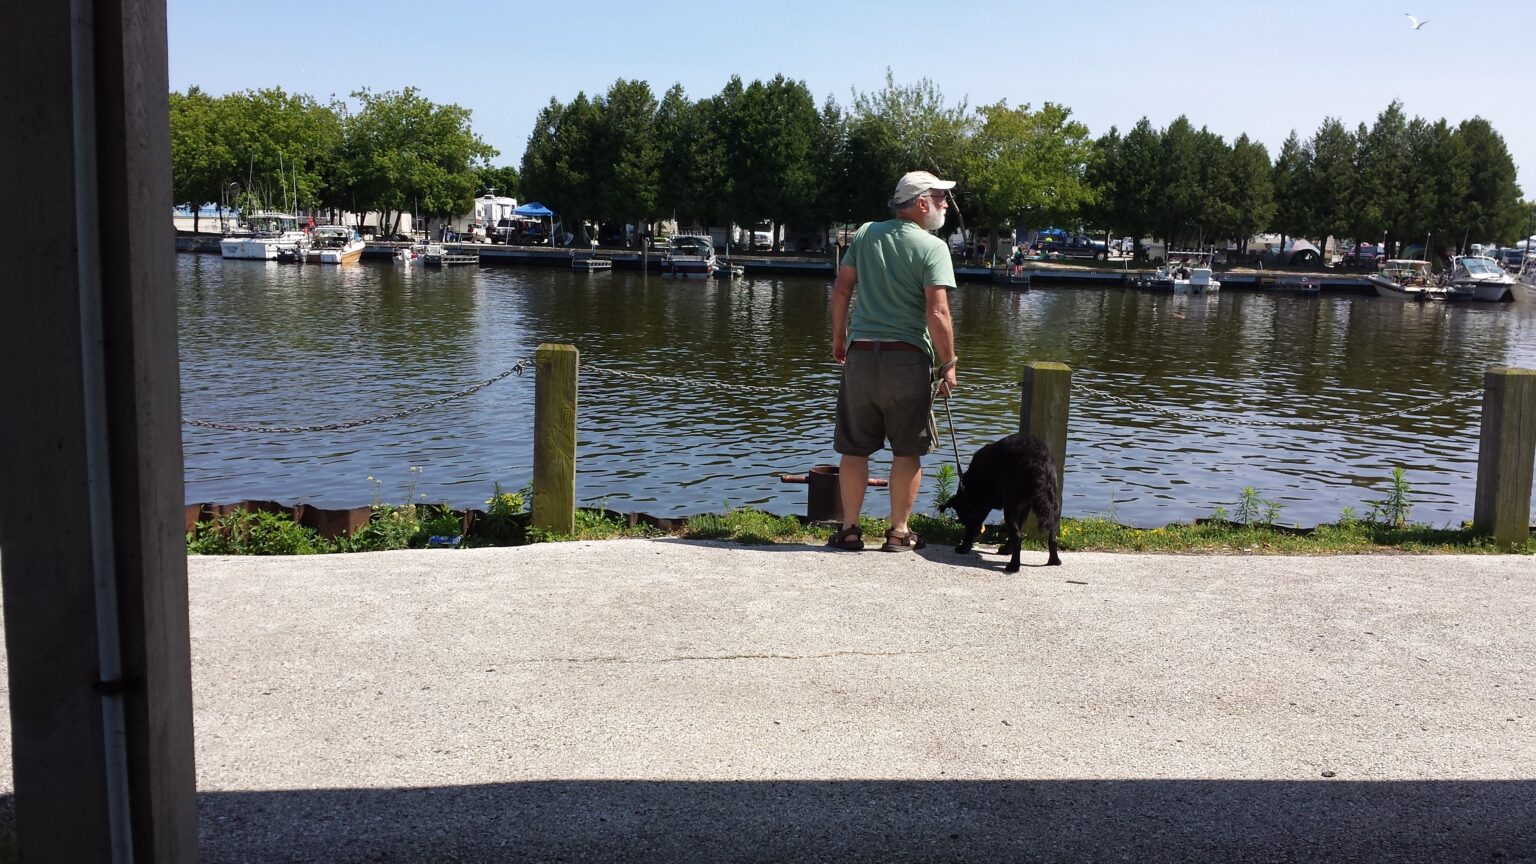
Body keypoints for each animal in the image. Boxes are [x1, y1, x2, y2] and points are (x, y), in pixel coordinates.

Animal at [940, 432, 1062, 571]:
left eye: (964, 518)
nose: (978, 536)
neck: (967, 489)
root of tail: (1038, 459)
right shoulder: (1024, 507)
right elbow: (1019, 526)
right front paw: (1007, 549)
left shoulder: (983, 506)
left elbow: (973, 526)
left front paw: (964, 547)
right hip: (1052, 503)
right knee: (1052, 534)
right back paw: (1054, 560)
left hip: (1011, 507)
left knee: (1017, 536)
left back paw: (1013, 566)